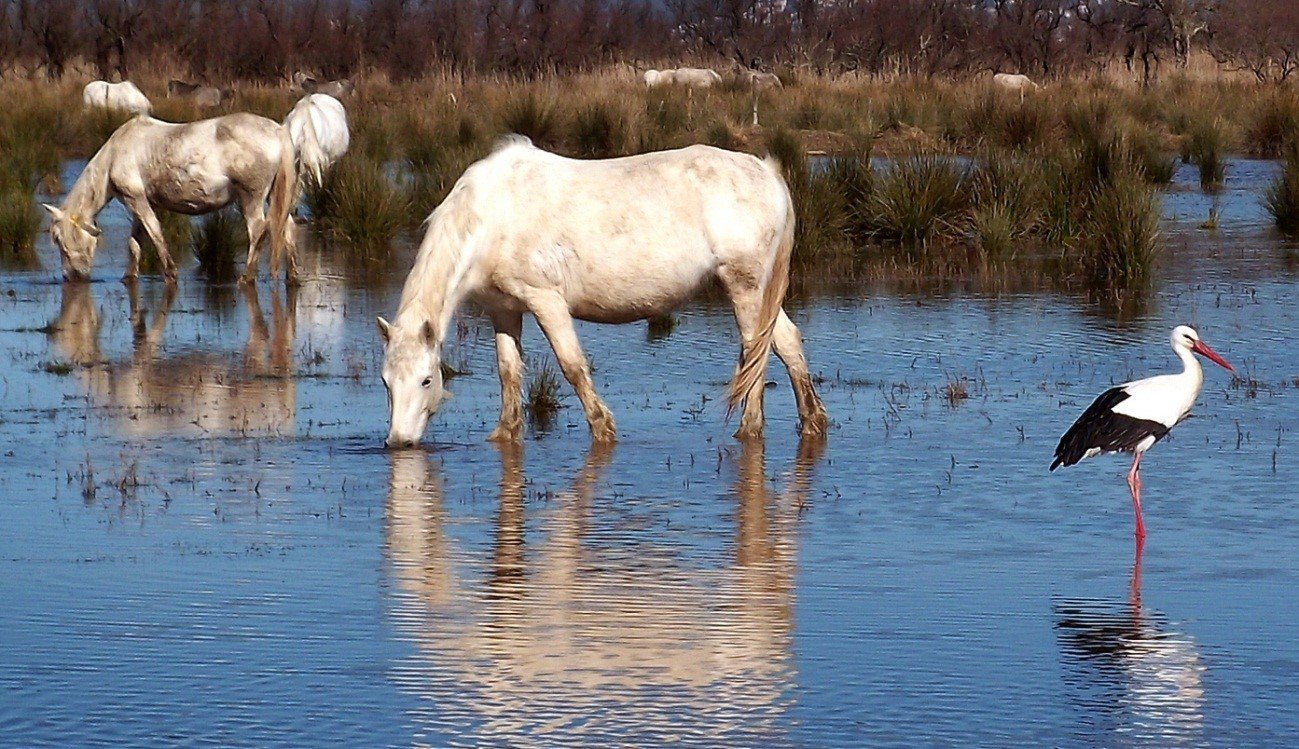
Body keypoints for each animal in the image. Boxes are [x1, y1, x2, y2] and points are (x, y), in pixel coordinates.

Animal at [41, 112, 297, 282]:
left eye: (58, 238)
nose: (70, 275)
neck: (115, 154)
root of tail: (278, 132)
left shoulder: (136, 199)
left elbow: (154, 232)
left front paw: (170, 272)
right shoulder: (140, 202)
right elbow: (135, 241)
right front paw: (129, 275)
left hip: (250, 197)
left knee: (258, 231)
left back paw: (246, 277)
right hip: (274, 196)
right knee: (287, 227)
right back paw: (292, 275)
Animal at [376, 138, 826, 446]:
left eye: (426, 381)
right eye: (386, 383)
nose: (398, 442)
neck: (491, 216)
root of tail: (768, 173)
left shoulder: (545, 300)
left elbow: (572, 365)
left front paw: (602, 427)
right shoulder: (504, 310)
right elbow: (508, 373)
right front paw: (505, 434)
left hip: (744, 287)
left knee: (756, 352)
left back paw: (750, 429)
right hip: (760, 293)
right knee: (785, 342)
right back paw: (812, 422)